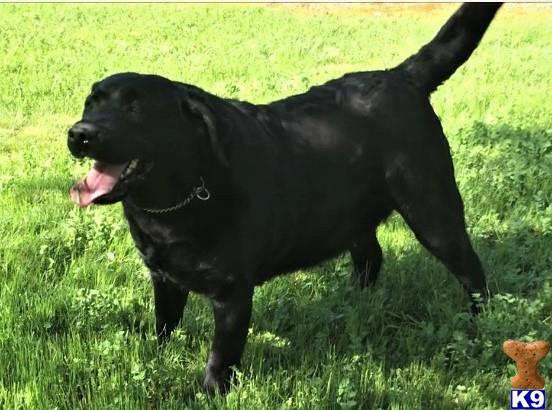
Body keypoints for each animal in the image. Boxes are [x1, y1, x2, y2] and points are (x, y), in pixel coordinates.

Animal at [68, 4, 500, 394]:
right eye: (91, 102)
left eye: (135, 107)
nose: (80, 134)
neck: (178, 198)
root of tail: (401, 76)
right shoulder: (164, 279)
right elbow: (164, 326)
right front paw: (155, 359)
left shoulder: (232, 294)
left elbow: (220, 357)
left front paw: (209, 393)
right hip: (348, 213)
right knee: (370, 256)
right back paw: (353, 303)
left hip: (432, 209)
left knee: (472, 271)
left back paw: (481, 322)